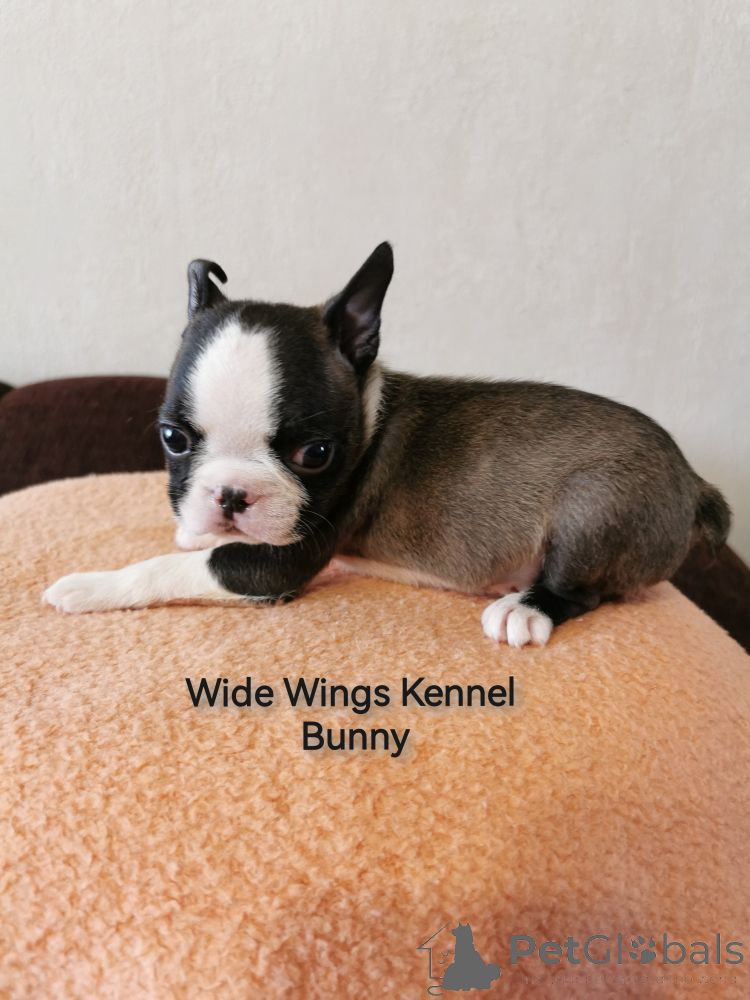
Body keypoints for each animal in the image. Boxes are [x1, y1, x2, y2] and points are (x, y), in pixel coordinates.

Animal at [43, 243, 731, 648]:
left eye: (315, 456)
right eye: (173, 438)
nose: (232, 496)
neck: (367, 412)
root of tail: (693, 483)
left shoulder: (279, 563)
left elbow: (169, 566)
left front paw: (92, 586)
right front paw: (196, 527)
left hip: (596, 506)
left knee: (582, 589)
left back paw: (525, 608)